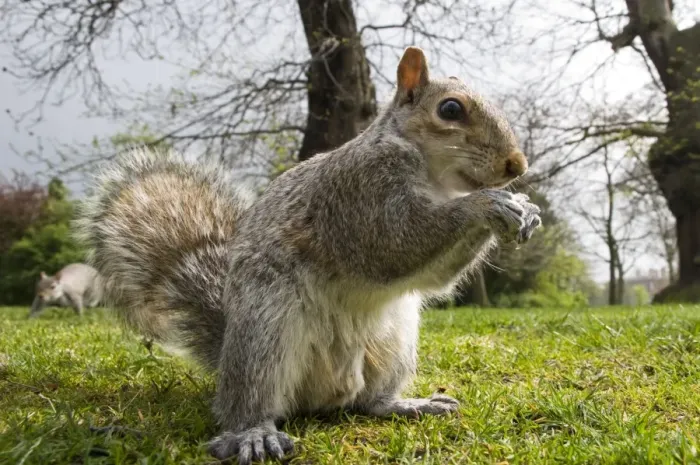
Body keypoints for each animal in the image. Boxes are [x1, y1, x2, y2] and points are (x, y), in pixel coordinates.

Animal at [75, 46, 541, 465]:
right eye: (450, 109)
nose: (517, 165)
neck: (434, 175)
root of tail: (325, 396)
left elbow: (432, 276)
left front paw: (527, 209)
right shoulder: (359, 194)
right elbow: (395, 242)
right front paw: (487, 204)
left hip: (395, 340)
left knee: (369, 402)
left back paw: (407, 403)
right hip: (265, 331)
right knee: (249, 402)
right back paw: (254, 434)